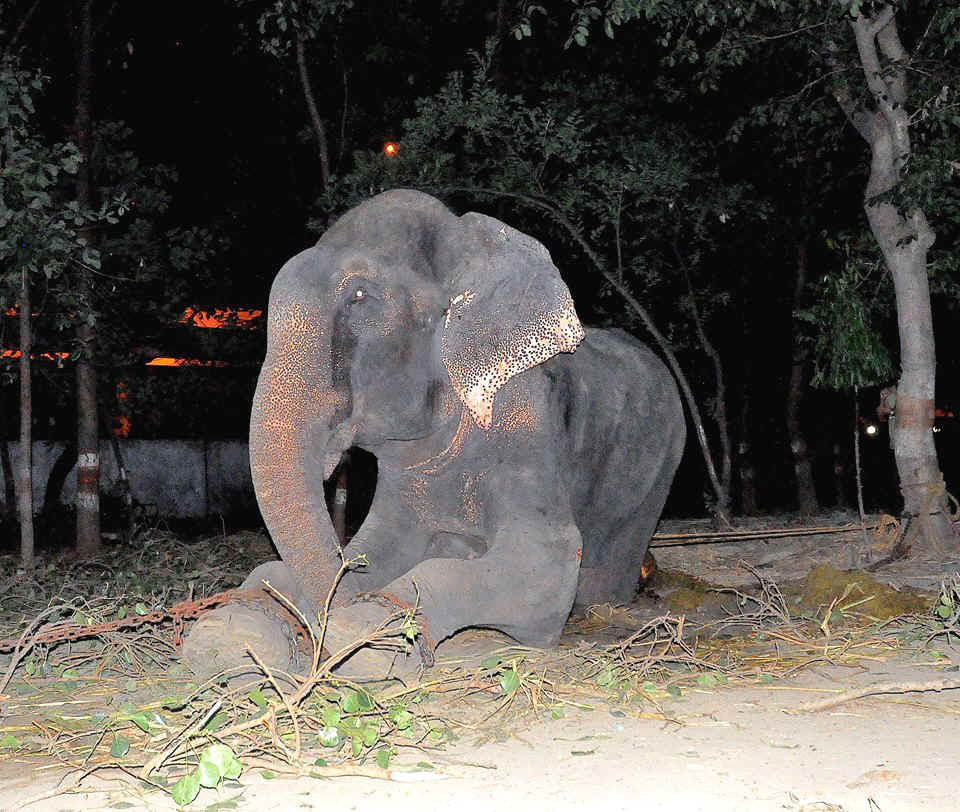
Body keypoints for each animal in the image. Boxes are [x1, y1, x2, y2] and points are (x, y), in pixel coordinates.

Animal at [182, 189, 684, 680]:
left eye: (360, 296)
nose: (318, 629)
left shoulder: (524, 419)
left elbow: (547, 561)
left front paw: (368, 637)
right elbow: (374, 547)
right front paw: (231, 632)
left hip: (660, 468)